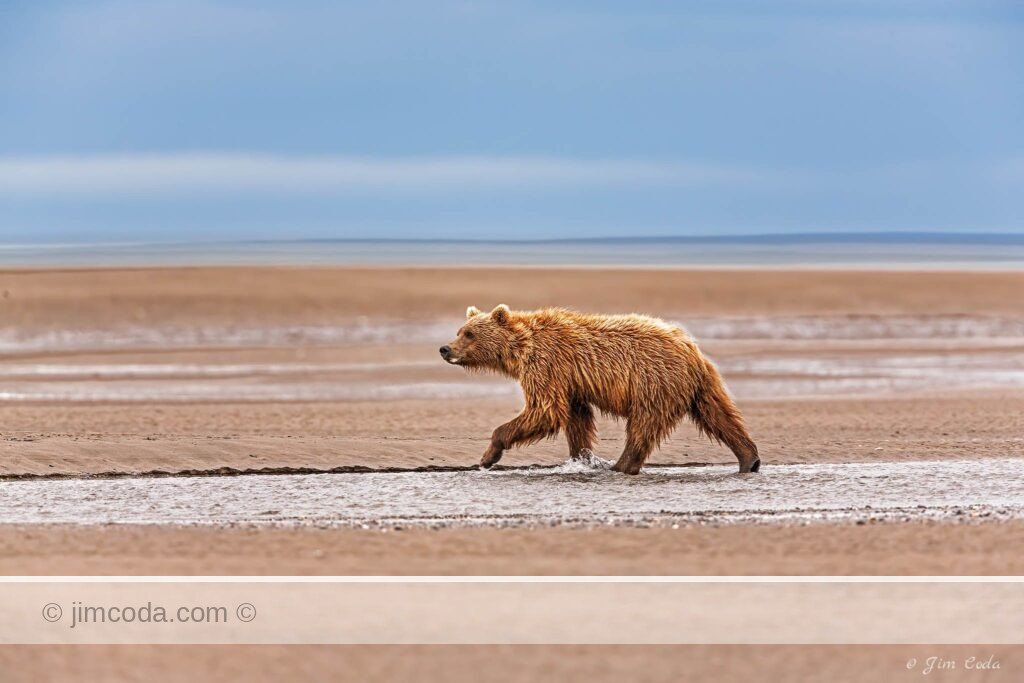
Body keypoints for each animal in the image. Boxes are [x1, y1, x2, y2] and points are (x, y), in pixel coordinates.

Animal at [440, 304, 760, 474]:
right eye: (459, 330)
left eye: (470, 333)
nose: (445, 349)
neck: (521, 349)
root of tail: (690, 347)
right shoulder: (570, 381)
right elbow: (575, 417)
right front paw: (581, 458)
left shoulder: (547, 365)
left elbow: (544, 409)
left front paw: (488, 455)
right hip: (700, 385)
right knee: (719, 415)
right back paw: (749, 458)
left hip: (653, 381)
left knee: (643, 425)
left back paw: (621, 465)